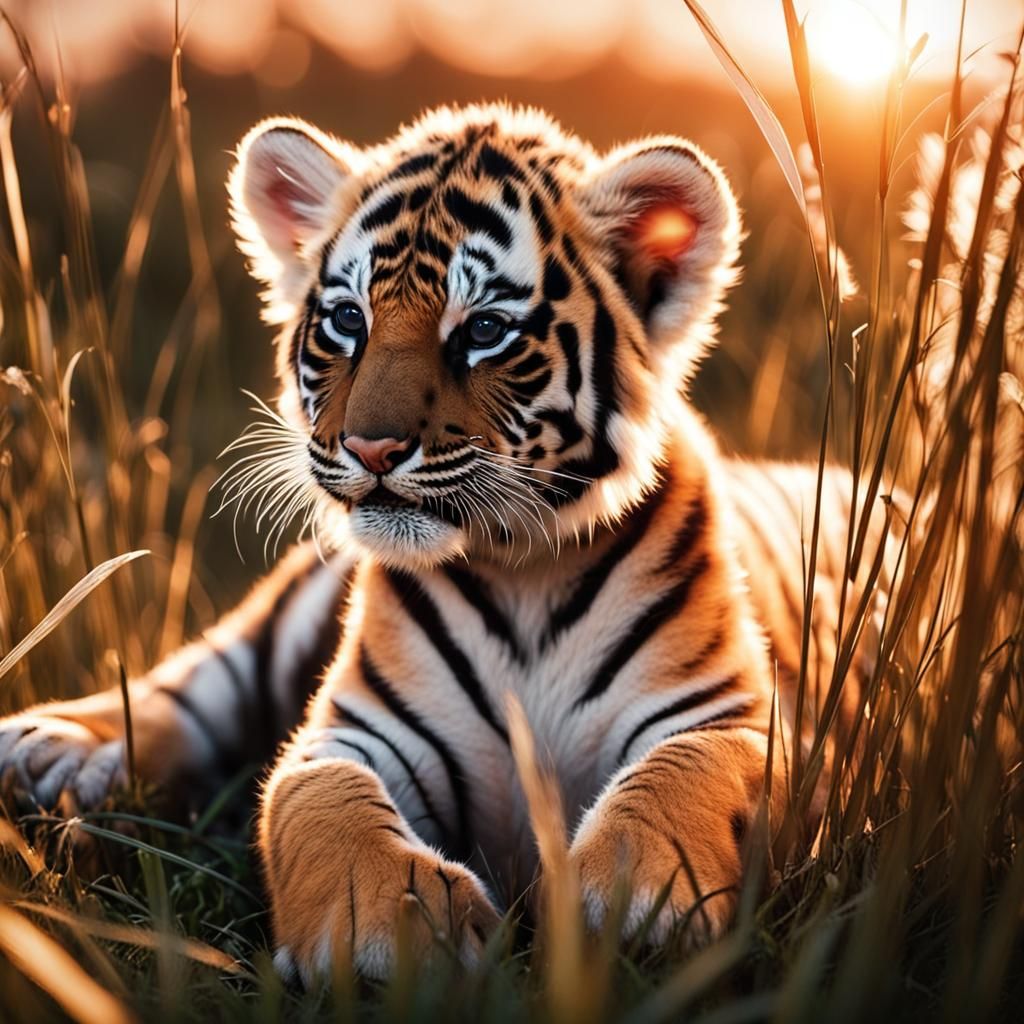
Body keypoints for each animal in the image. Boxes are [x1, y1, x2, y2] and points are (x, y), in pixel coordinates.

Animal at [0, 103, 893, 982]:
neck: (526, 570)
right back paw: (48, 751)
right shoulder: (355, 729)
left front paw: (633, 900)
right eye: (348, 320)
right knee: (185, 687)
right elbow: (317, 800)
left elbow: (684, 776)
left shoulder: (736, 717)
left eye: (486, 330)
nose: (370, 448)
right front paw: (386, 931)